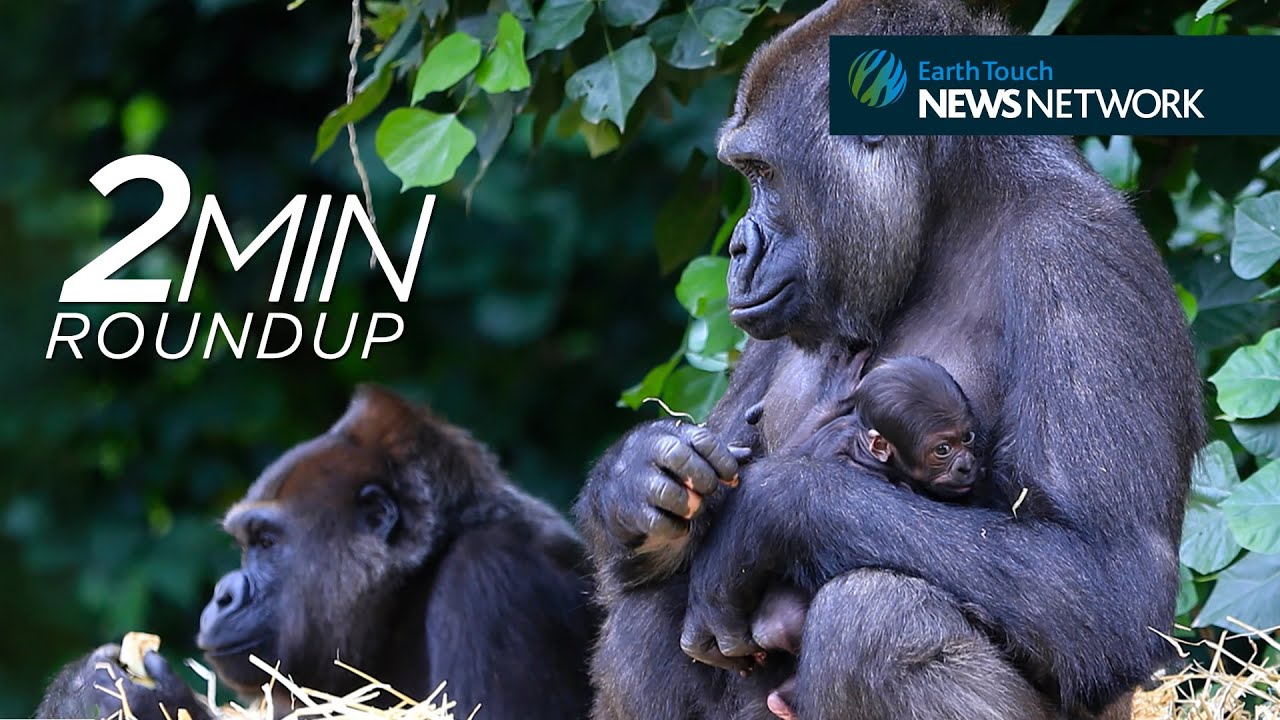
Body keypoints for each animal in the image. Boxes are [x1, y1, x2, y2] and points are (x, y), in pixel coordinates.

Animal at [39, 385, 598, 720]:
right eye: (245, 546)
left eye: (267, 544)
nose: (222, 595)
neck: (408, 596)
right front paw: (81, 693)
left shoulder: (491, 579)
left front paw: (138, 700)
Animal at [574, 1, 1201, 718]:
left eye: (764, 174)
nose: (738, 248)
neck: (953, 200)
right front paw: (636, 476)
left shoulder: (1077, 251)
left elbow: (1107, 581)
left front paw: (772, 506)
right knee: (644, 617)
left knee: (874, 617)